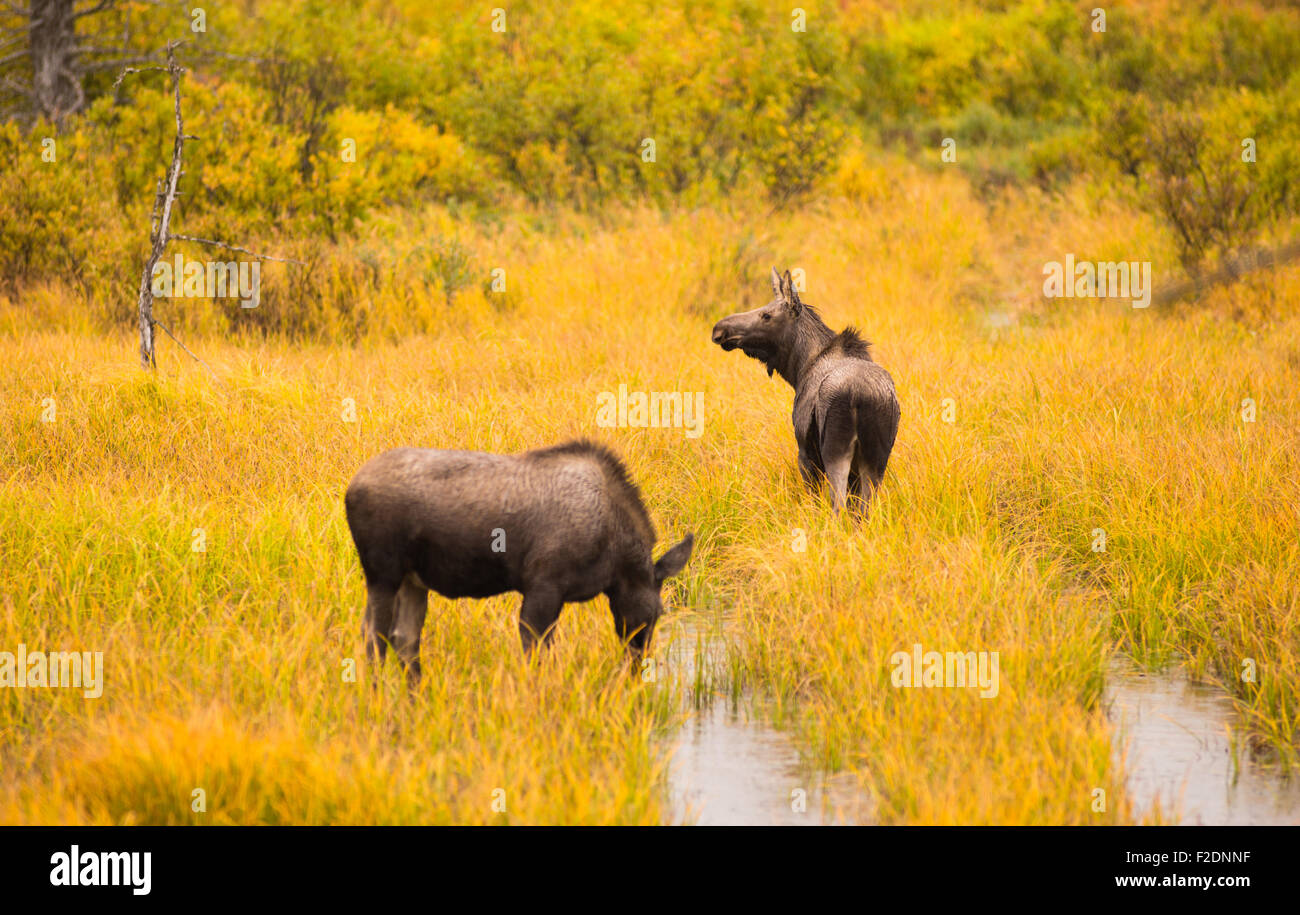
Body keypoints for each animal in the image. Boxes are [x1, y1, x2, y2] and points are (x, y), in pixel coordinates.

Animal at [343, 439, 691, 681]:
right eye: (658, 612)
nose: (638, 664)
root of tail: (350, 490)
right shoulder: (544, 587)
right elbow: (536, 655)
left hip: (412, 581)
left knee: (404, 639)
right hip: (382, 574)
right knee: (374, 638)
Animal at [712, 270, 904, 514]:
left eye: (766, 315)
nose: (720, 329)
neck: (798, 368)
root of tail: (859, 396)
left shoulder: (805, 452)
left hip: (835, 451)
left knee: (838, 505)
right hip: (877, 458)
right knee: (865, 509)